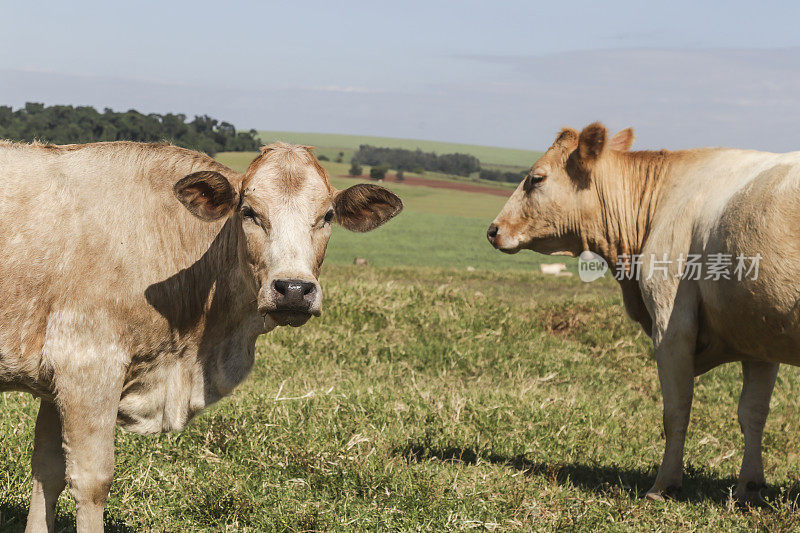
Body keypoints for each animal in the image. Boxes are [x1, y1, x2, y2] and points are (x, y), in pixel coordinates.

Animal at [0, 139, 404, 528]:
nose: (293, 289)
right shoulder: (87, 366)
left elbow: (48, 472)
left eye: (328, 215)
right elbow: (91, 481)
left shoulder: (56, 380)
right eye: (249, 212)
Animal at [488, 122, 800, 504]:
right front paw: (748, 489)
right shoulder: (757, 333)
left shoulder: (671, 324)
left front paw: (664, 486)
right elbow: (753, 414)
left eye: (536, 178)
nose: (493, 230)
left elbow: (676, 410)